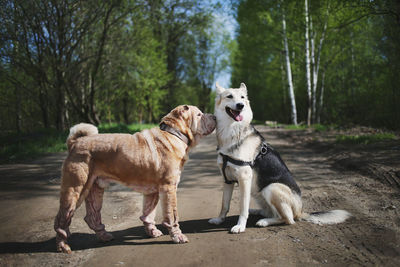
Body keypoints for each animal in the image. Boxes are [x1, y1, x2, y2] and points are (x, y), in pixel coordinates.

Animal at [54, 104, 216, 253]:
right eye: (199, 115)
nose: (214, 116)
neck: (174, 134)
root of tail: (74, 143)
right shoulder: (169, 188)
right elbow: (172, 216)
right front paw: (178, 236)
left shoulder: (153, 192)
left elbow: (148, 214)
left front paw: (152, 232)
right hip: (75, 190)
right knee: (61, 220)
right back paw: (63, 246)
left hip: (95, 189)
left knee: (92, 216)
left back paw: (104, 236)